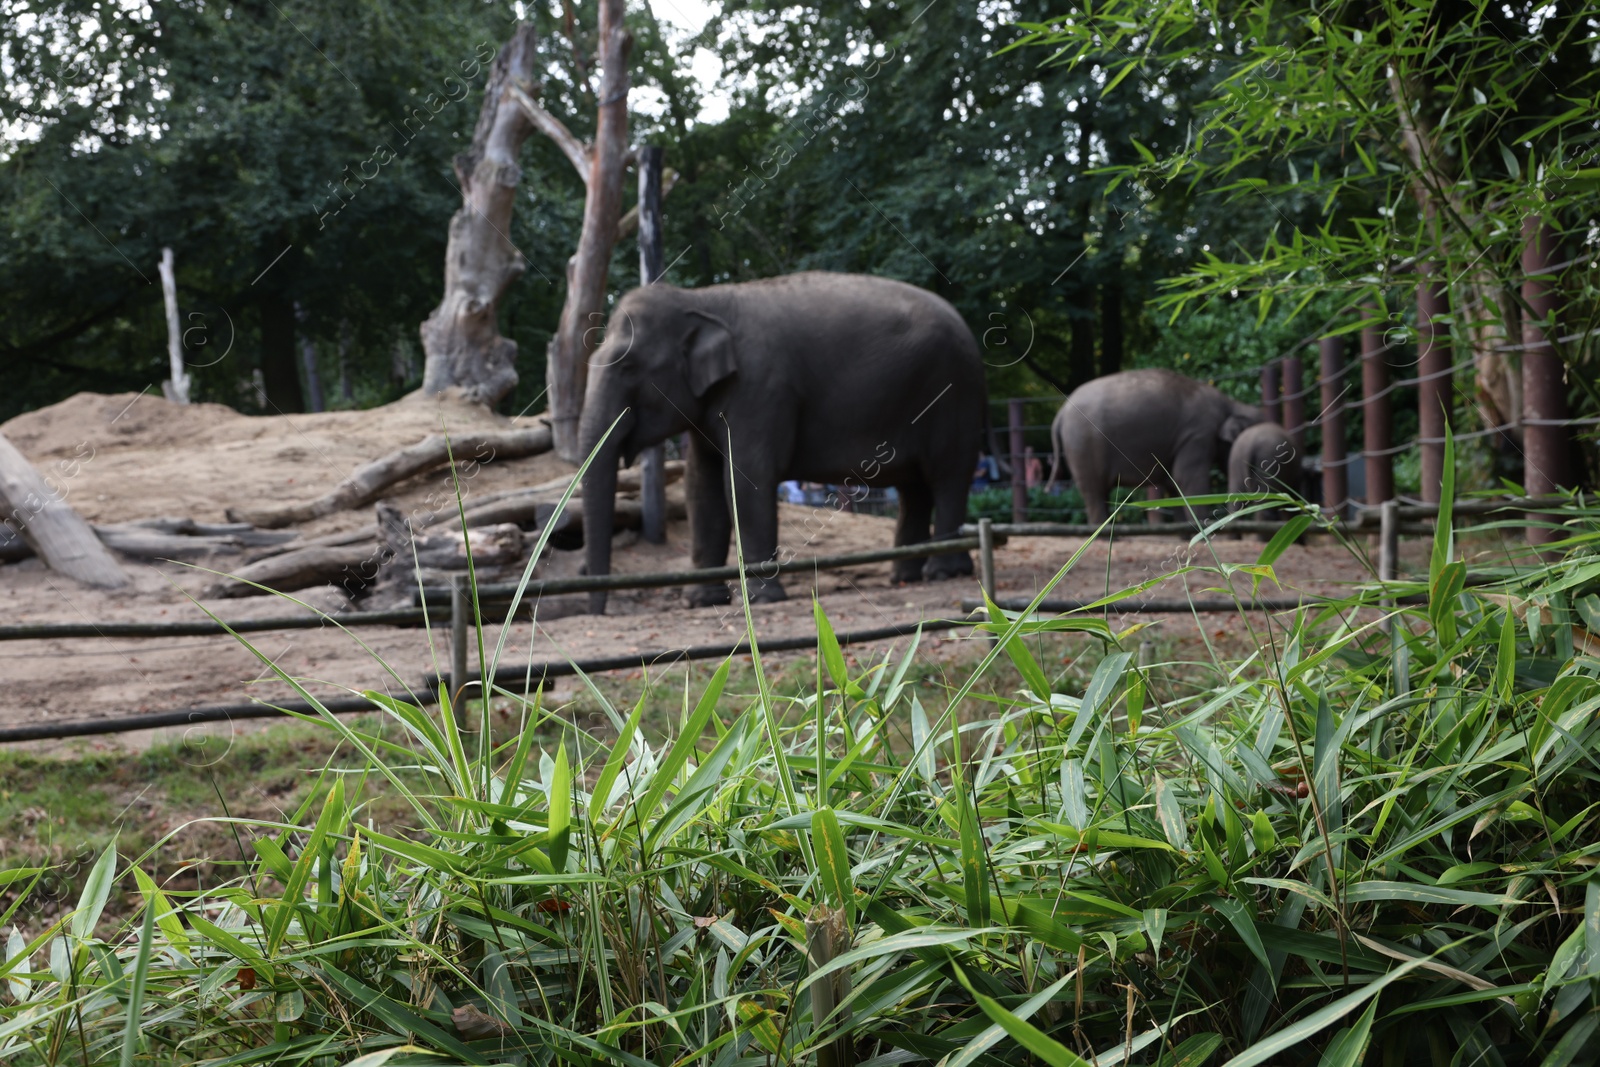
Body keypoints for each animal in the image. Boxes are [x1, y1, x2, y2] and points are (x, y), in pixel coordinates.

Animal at [569, 271, 979, 614]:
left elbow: (746, 479)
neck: (701, 300)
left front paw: (761, 599)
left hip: (952, 392)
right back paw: (903, 577)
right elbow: (701, 486)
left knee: (947, 475)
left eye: (628, 367)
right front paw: (699, 600)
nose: (599, 609)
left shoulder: (760, 388)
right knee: (915, 488)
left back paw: (943, 573)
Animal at [1049, 369, 1260, 527]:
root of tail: (1061, 412)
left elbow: (1174, 482)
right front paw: (1202, 526)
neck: (1231, 404)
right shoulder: (1198, 433)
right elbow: (1186, 476)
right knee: (1094, 490)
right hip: (1084, 445)